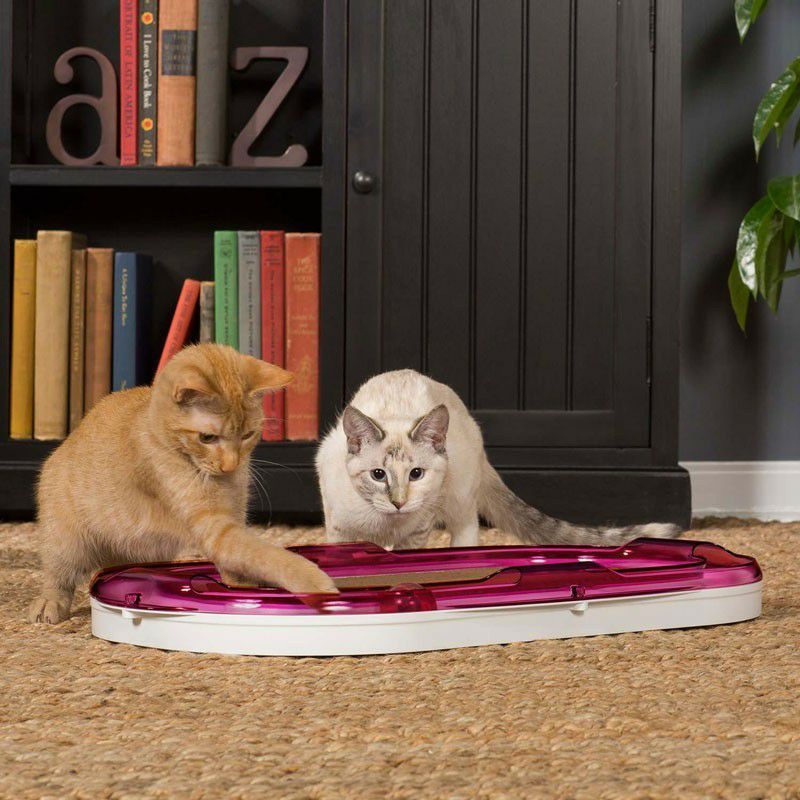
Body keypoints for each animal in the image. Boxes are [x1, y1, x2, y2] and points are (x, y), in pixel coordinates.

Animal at [29, 344, 337, 624]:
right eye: (207, 438)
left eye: (248, 434)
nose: (231, 464)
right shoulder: (216, 529)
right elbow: (265, 554)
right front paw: (315, 582)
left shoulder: (233, 518)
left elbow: (241, 561)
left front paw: (242, 588)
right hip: (66, 538)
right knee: (58, 573)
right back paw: (49, 603)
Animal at [316, 369, 680, 550]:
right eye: (378, 475)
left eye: (416, 474)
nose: (399, 502)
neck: (387, 526)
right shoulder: (339, 531)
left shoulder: (416, 534)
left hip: (458, 498)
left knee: (465, 532)